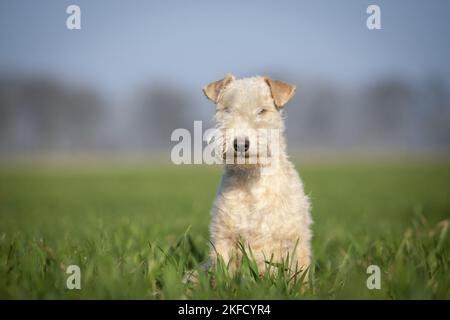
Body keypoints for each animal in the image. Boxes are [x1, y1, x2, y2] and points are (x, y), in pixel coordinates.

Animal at [202, 74, 312, 276]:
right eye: (227, 109)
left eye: (262, 110)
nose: (240, 144)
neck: (252, 179)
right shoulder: (224, 237)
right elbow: (224, 274)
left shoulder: (293, 239)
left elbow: (298, 274)